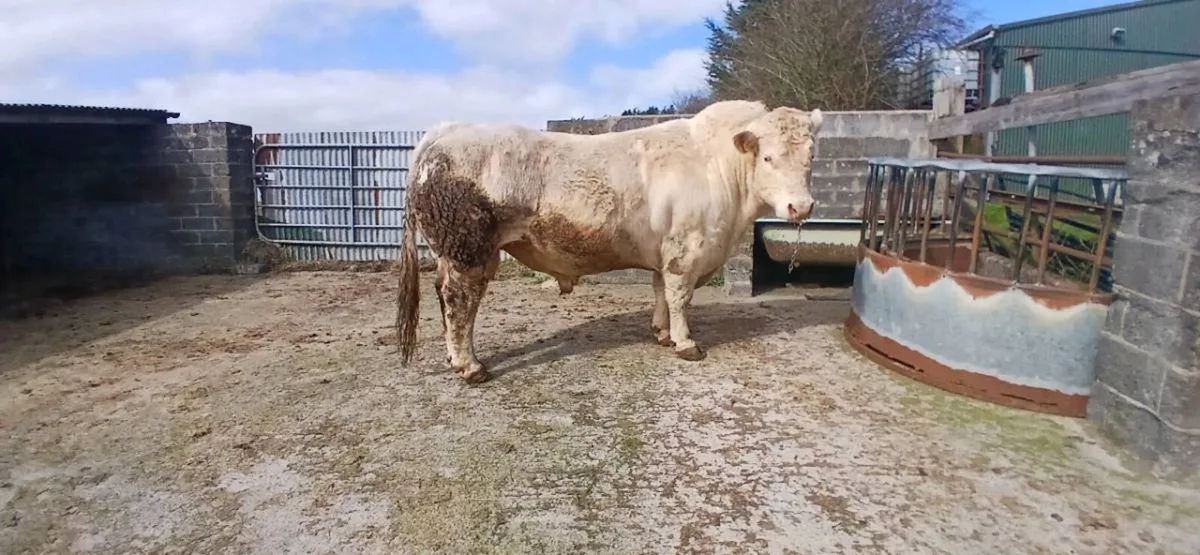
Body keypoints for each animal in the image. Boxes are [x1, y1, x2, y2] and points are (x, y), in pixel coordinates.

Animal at [395, 100, 824, 383]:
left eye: (811, 156)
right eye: (768, 158)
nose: (801, 206)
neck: (716, 167)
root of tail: (445, 131)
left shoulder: (664, 252)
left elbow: (660, 293)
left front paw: (661, 334)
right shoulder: (686, 250)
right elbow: (680, 298)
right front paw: (686, 344)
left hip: (453, 253)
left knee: (446, 298)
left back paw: (455, 359)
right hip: (468, 250)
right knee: (459, 302)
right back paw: (470, 366)